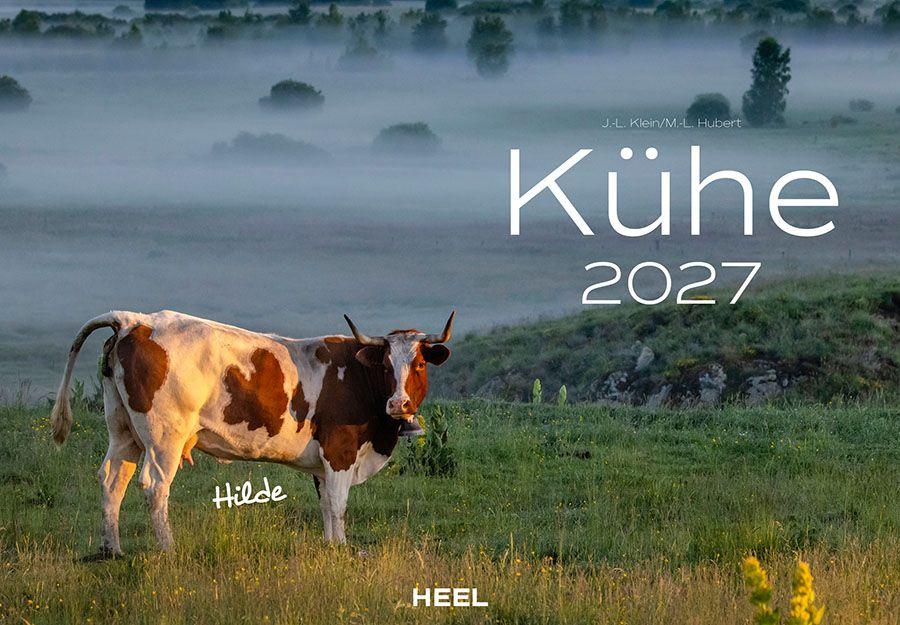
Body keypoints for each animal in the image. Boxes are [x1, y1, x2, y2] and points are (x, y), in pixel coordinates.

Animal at [49, 309, 454, 555]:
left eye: (419, 365)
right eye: (386, 365)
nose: (398, 404)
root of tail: (135, 320)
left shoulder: (323, 463)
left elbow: (326, 505)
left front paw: (330, 547)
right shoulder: (340, 452)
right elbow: (338, 506)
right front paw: (341, 549)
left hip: (123, 432)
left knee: (112, 479)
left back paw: (112, 550)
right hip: (164, 437)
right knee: (154, 486)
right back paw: (169, 549)